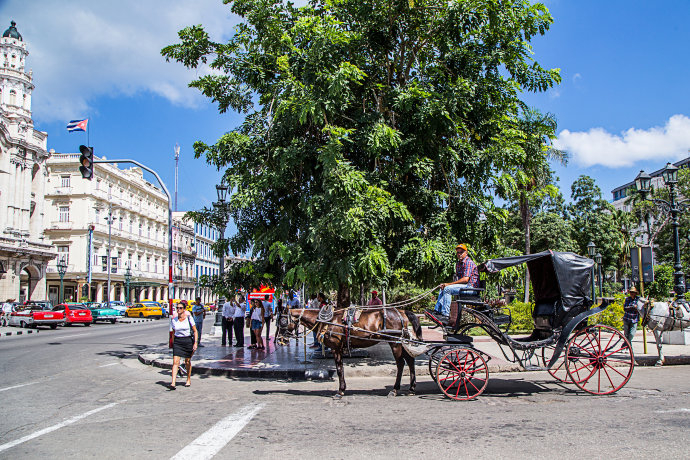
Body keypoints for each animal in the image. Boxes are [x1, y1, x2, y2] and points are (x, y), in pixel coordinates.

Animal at [282, 308, 422, 398]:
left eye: (282, 321)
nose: (281, 340)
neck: (326, 321)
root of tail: (402, 312)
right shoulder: (338, 349)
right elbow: (341, 368)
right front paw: (342, 389)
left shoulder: (336, 348)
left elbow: (339, 369)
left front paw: (340, 391)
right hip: (400, 342)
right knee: (410, 360)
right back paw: (411, 388)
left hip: (395, 343)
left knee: (400, 363)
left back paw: (395, 390)